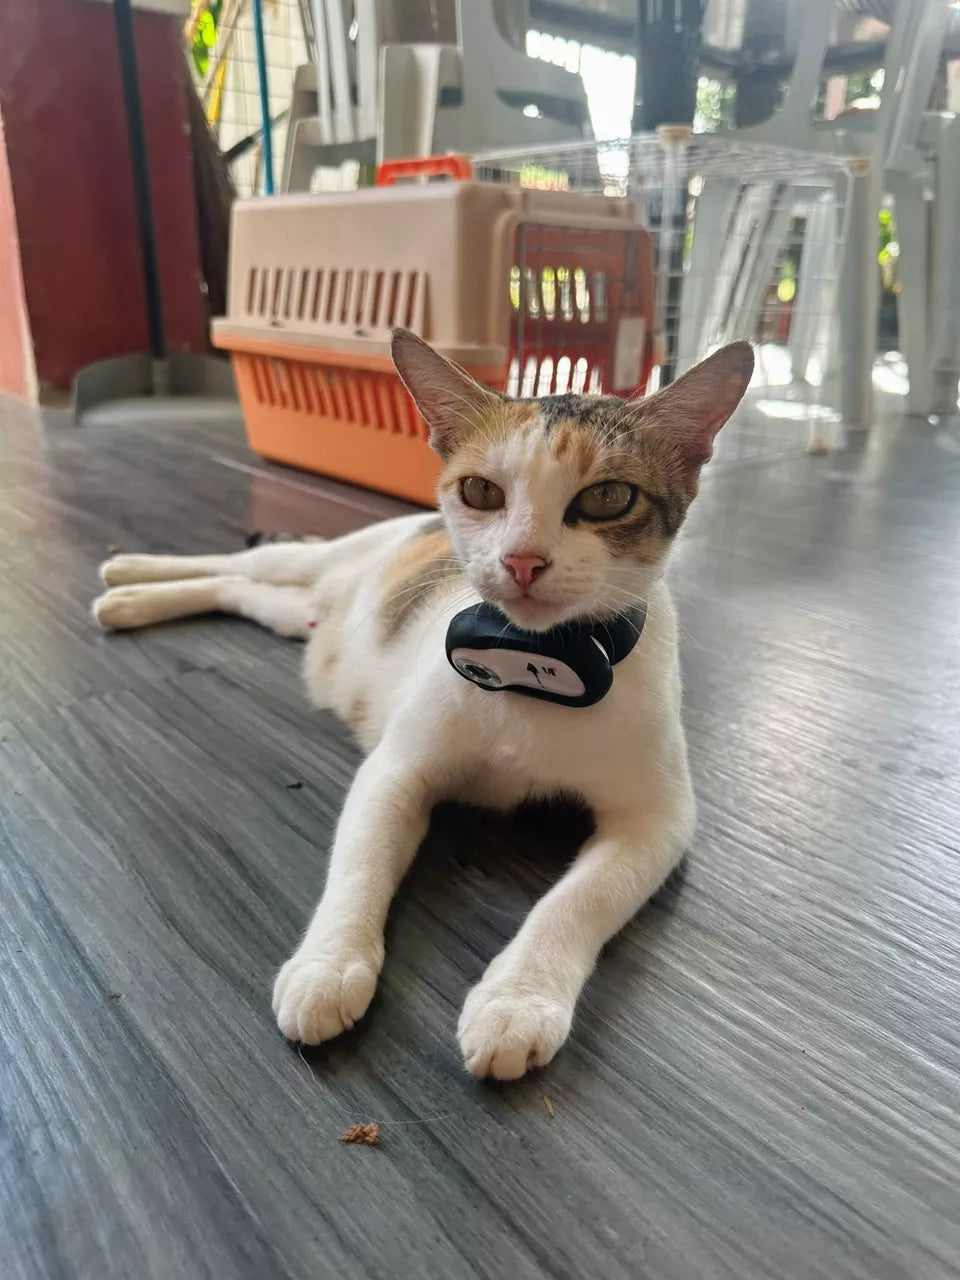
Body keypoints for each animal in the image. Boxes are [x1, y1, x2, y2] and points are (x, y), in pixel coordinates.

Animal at [92, 329, 753, 1079]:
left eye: (610, 497)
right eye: (480, 490)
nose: (523, 560)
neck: (533, 673)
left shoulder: (657, 820)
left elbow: (579, 899)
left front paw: (518, 998)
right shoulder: (397, 771)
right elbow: (361, 863)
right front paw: (328, 963)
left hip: (291, 615)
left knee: (239, 590)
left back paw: (129, 598)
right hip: (315, 565)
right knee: (243, 564)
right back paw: (132, 572)